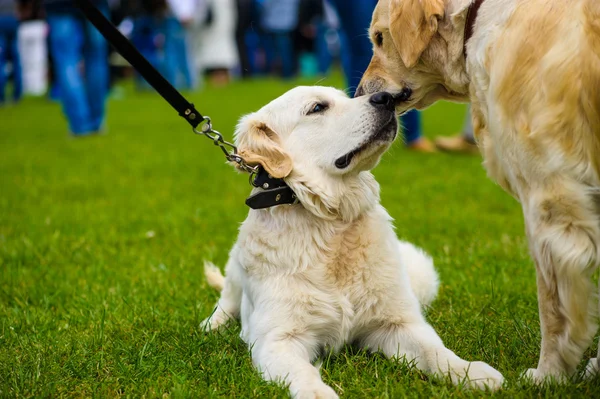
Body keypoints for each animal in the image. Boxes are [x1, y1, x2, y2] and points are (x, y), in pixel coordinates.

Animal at [199, 86, 504, 398]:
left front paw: (472, 372)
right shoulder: (277, 339)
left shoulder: (397, 323)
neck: (332, 224)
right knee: (226, 300)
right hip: (235, 269)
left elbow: (435, 352)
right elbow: (303, 373)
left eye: (346, 97)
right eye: (317, 108)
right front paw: (319, 393)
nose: (387, 98)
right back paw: (212, 324)